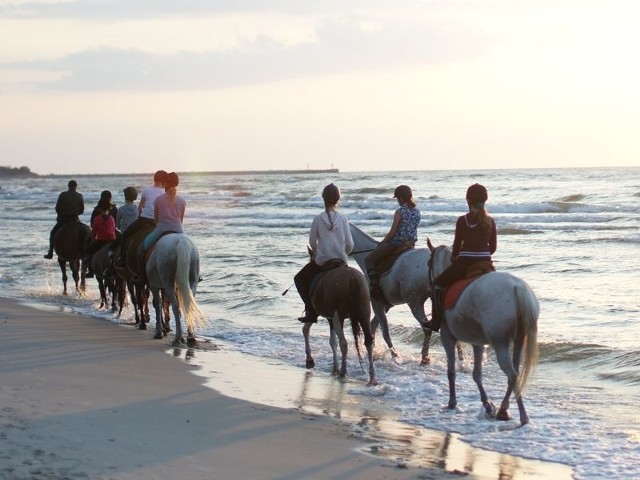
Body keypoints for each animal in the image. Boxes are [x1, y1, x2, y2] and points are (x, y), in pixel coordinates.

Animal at [428, 242, 536, 426]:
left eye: (428, 263)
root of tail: (517, 287)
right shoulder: (478, 342)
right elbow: (477, 374)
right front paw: (487, 404)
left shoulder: (447, 337)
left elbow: (451, 371)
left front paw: (452, 403)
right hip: (519, 341)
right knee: (514, 375)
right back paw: (504, 410)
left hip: (500, 344)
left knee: (512, 375)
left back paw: (521, 416)